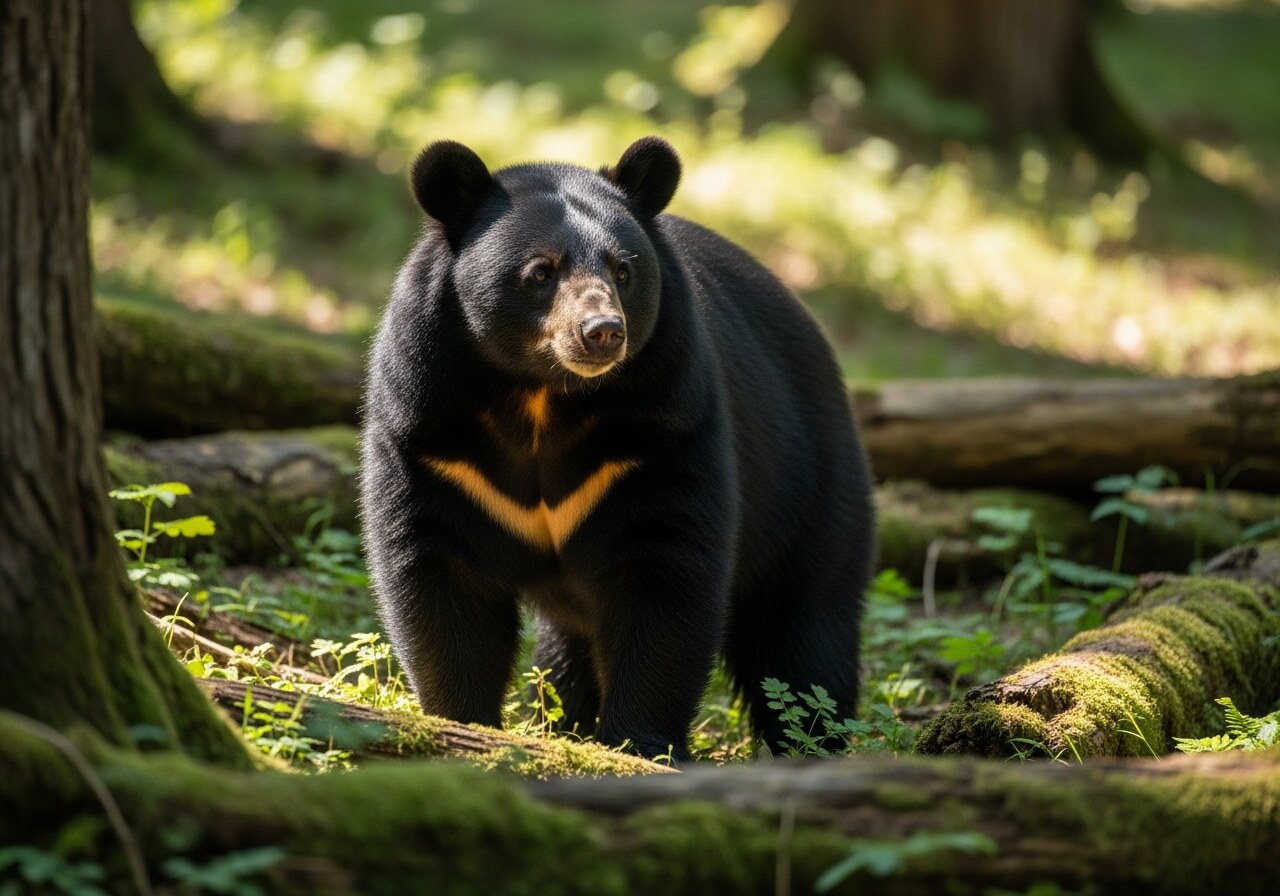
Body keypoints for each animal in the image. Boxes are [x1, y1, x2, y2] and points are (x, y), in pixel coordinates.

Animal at [360, 136, 874, 761]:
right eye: (541, 272)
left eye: (624, 271)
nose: (602, 331)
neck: (542, 396)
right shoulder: (429, 433)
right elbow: (443, 573)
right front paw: (464, 724)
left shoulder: (666, 426)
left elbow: (664, 571)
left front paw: (640, 744)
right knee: (571, 648)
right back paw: (568, 724)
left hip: (807, 483)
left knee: (803, 632)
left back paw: (811, 744)